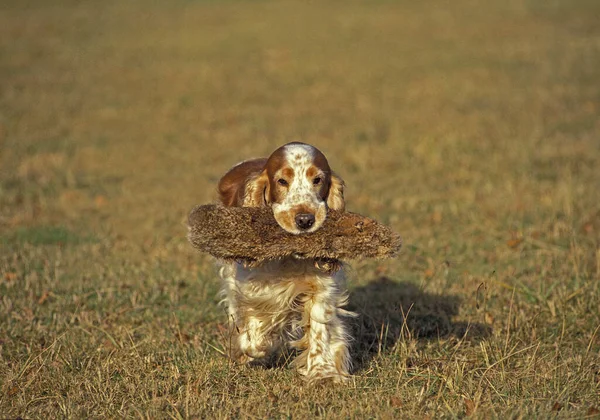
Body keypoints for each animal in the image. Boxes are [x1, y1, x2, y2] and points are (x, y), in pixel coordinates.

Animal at [218, 143, 354, 382]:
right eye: (282, 181)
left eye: (317, 179)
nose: (305, 220)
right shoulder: (250, 287)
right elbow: (254, 337)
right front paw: (261, 344)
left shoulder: (321, 288)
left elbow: (320, 330)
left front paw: (323, 374)